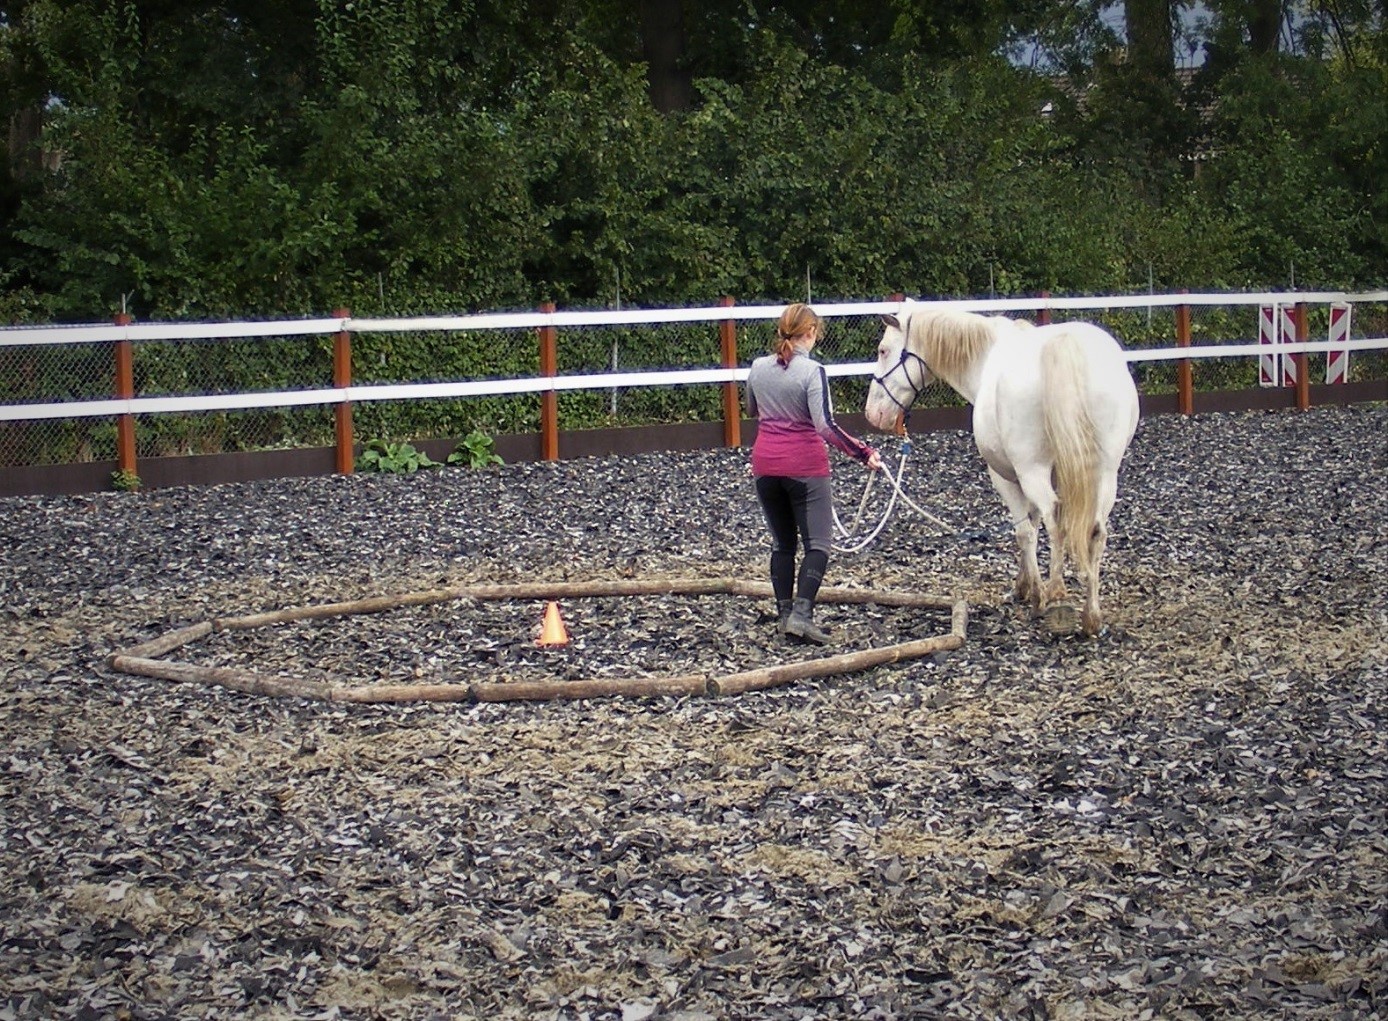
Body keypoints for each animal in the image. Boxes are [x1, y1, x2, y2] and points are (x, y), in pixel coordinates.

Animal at [866, 305, 1138, 638]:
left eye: (883, 350)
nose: (873, 413)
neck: (987, 357)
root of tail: (1066, 344)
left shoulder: (1007, 477)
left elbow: (1025, 531)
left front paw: (1035, 594)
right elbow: (1032, 524)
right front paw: (1025, 585)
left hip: (1035, 471)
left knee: (1056, 523)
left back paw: (1056, 598)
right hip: (1105, 474)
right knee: (1096, 531)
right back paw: (1091, 616)